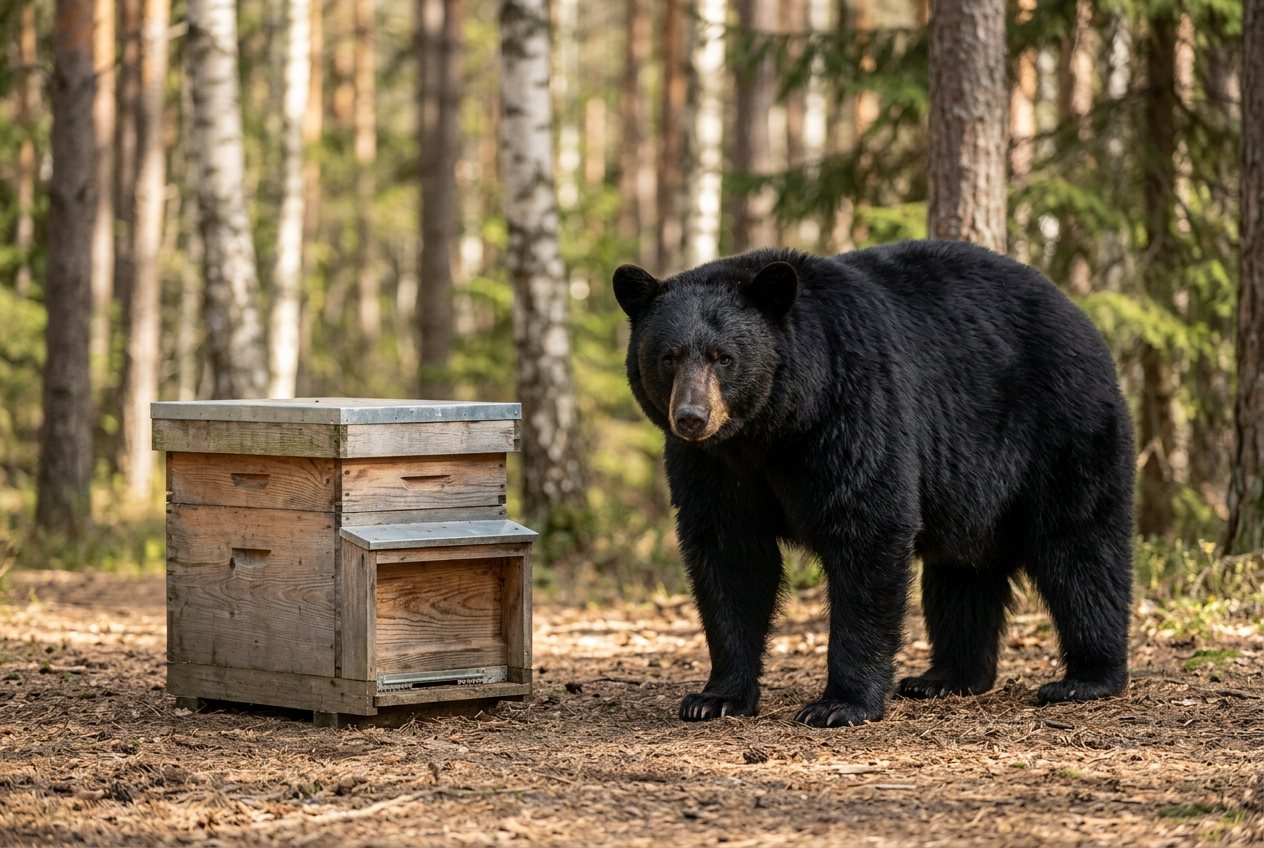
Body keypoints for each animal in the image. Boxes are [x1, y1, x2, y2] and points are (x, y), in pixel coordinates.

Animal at [613, 240, 1134, 728]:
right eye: (668, 356)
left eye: (723, 357)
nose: (691, 416)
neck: (771, 430)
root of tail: (1077, 313)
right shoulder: (713, 466)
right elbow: (729, 553)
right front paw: (715, 697)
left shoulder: (852, 408)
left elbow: (866, 528)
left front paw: (838, 704)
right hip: (973, 485)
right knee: (962, 571)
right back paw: (945, 678)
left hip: (1061, 426)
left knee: (1079, 546)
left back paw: (1086, 678)